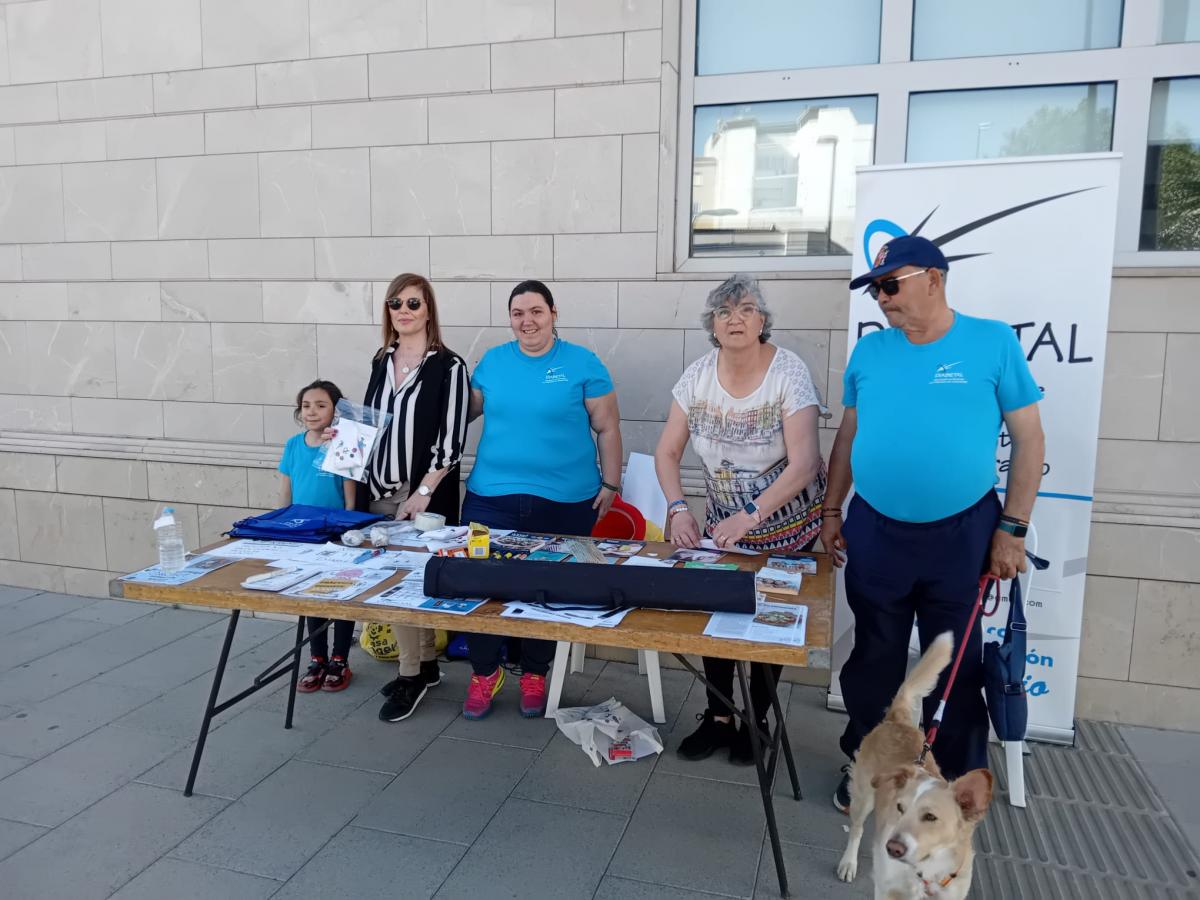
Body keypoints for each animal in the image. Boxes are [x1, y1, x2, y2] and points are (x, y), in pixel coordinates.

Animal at [835, 633, 993, 900]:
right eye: (899, 808)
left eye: (930, 817)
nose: (892, 848)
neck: (925, 873)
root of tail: (897, 720)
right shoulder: (885, 891)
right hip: (862, 798)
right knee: (856, 830)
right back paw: (848, 863)